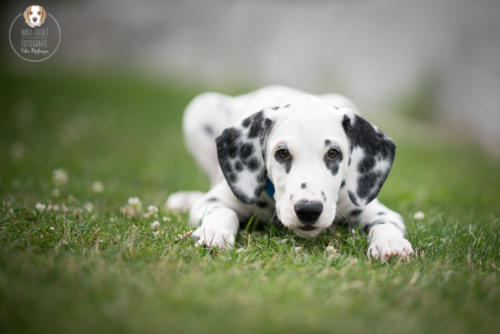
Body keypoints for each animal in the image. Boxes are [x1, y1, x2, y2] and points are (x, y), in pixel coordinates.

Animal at [168, 85, 414, 260]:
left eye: (333, 153)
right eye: (282, 153)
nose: (308, 210)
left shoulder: (371, 208)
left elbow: (387, 223)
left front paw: (391, 244)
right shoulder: (215, 200)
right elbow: (223, 212)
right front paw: (213, 233)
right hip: (199, 108)